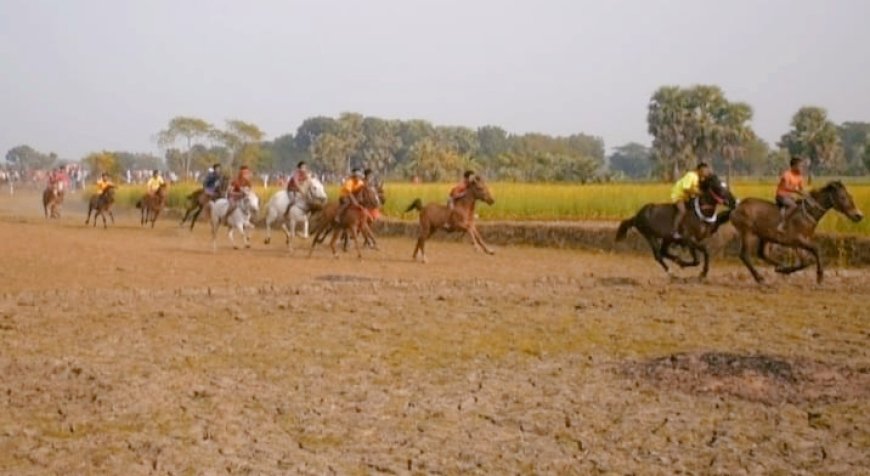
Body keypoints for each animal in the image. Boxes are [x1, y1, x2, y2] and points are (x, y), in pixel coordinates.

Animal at [736, 179, 864, 282]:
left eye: (850, 196)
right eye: (842, 197)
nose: (859, 215)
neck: (809, 213)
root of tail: (737, 207)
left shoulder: (798, 243)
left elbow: (805, 262)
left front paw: (784, 270)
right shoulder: (798, 239)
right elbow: (816, 249)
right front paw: (820, 276)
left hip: (765, 236)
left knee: (761, 254)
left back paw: (780, 265)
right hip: (747, 232)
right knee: (744, 255)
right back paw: (760, 278)